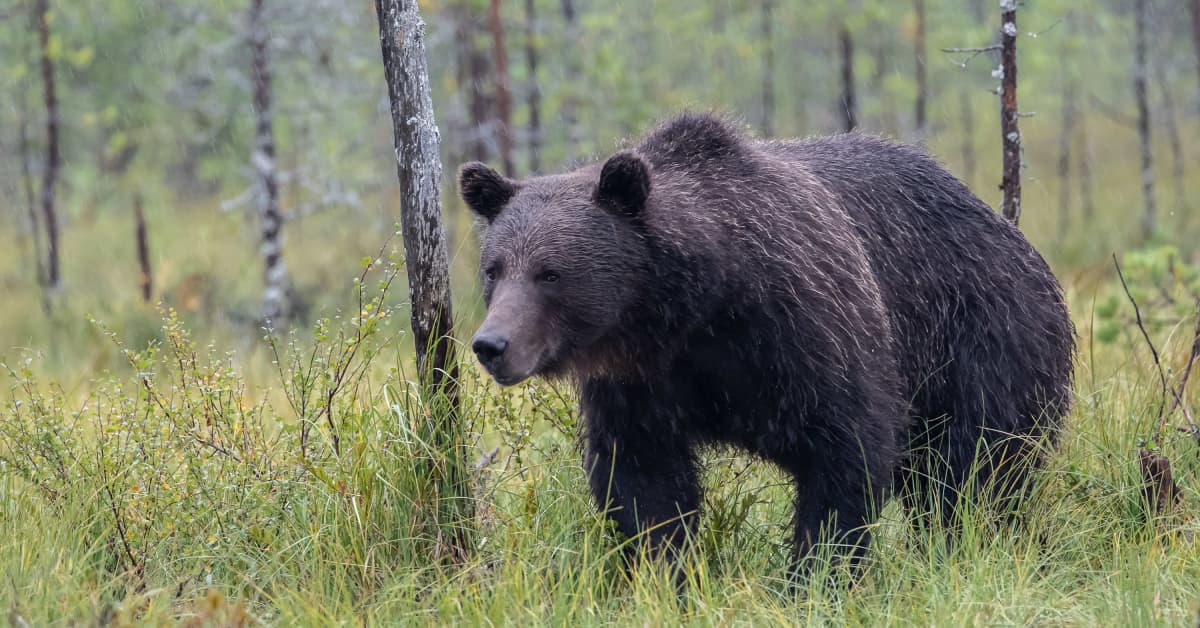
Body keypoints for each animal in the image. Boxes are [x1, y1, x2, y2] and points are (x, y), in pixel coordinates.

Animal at [459, 113, 1074, 578]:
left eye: (550, 273)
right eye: (494, 268)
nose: (492, 344)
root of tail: (1012, 235)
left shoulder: (805, 327)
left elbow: (846, 452)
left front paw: (816, 577)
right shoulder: (640, 381)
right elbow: (643, 482)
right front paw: (665, 575)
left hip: (982, 342)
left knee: (975, 474)